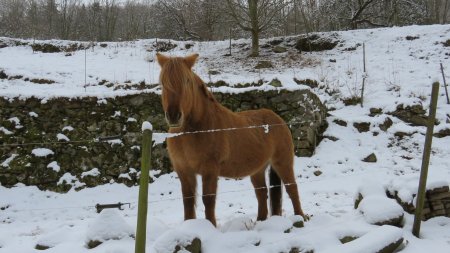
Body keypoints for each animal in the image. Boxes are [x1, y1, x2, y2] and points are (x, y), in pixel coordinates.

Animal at [155, 52, 306, 226]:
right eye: (162, 82)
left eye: (187, 81)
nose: (174, 115)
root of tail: (277, 118)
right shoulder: (183, 171)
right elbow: (188, 201)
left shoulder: (210, 170)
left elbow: (208, 200)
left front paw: (210, 226)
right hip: (258, 169)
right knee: (262, 193)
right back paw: (260, 221)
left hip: (283, 163)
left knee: (292, 188)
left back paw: (301, 217)